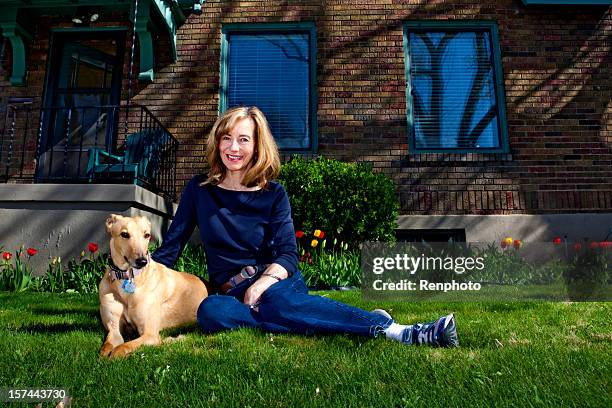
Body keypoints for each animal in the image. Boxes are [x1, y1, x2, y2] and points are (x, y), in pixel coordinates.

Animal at [98, 214, 208, 356]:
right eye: (124, 234)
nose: (142, 261)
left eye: (147, 235)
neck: (128, 278)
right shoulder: (114, 330)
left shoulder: (150, 335)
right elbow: (106, 348)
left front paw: (115, 354)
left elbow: (123, 347)